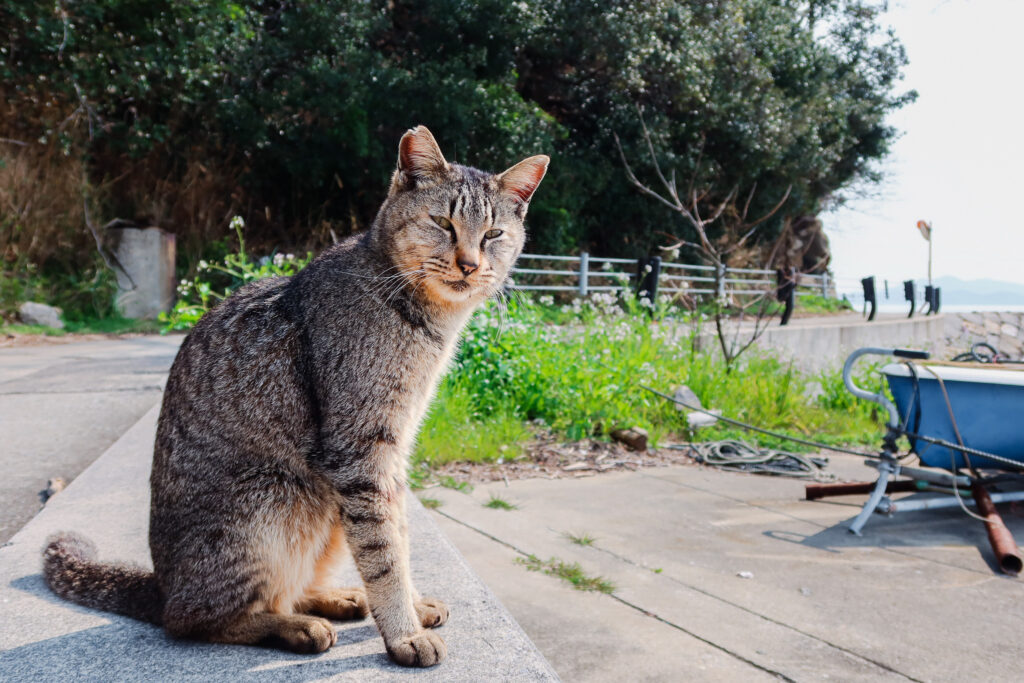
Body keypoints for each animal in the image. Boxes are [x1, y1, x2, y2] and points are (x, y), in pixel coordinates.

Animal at [44, 127, 548, 667]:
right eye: (442, 223)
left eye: (493, 234)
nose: (470, 264)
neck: (429, 322)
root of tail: (161, 583)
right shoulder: (360, 452)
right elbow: (384, 553)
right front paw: (403, 632)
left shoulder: (392, 454)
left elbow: (399, 535)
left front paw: (410, 606)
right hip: (277, 496)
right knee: (195, 619)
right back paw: (295, 627)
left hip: (323, 509)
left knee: (285, 587)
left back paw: (336, 598)